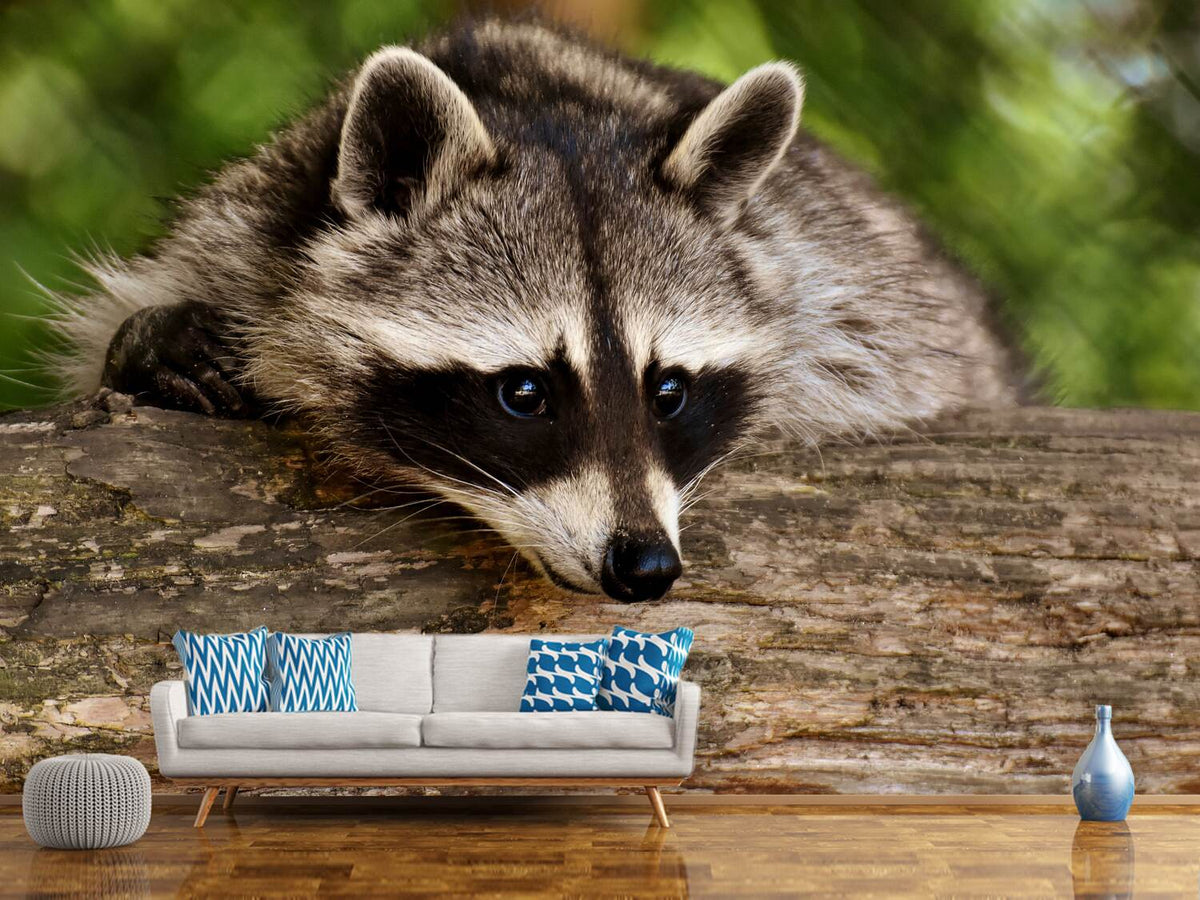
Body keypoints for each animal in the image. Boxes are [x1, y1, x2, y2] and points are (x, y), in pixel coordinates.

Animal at [52, 18, 1020, 602]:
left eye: (669, 391)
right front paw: (152, 345)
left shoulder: (843, 287)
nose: (645, 567)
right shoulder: (239, 227)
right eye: (524, 393)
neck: (541, 102)